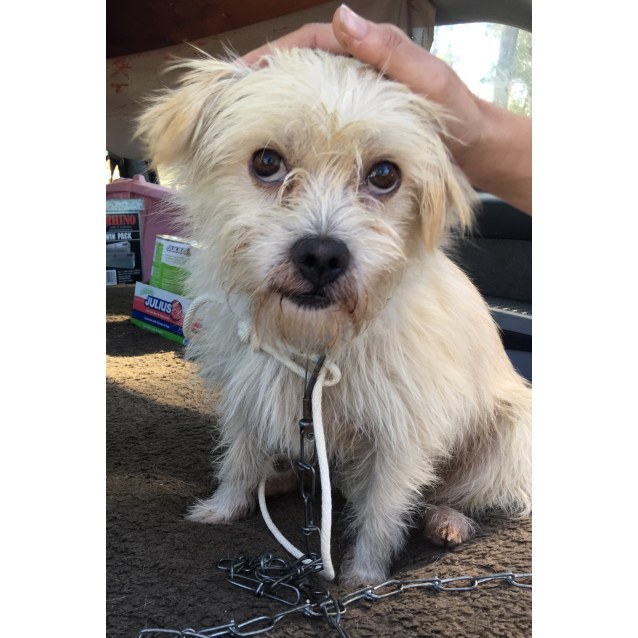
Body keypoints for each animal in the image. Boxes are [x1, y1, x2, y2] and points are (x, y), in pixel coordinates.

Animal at [138, 48, 532, 592]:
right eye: (266, 162)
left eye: (384, 175)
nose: (322, 255)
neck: (312, 339)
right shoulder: (247, 390)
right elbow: (240, 455)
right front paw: (223, 507)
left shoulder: (403, 427)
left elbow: (385, 506)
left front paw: (364, 576)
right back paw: (279, 479)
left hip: (510, 435)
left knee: (456, 492)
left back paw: (447, 519)